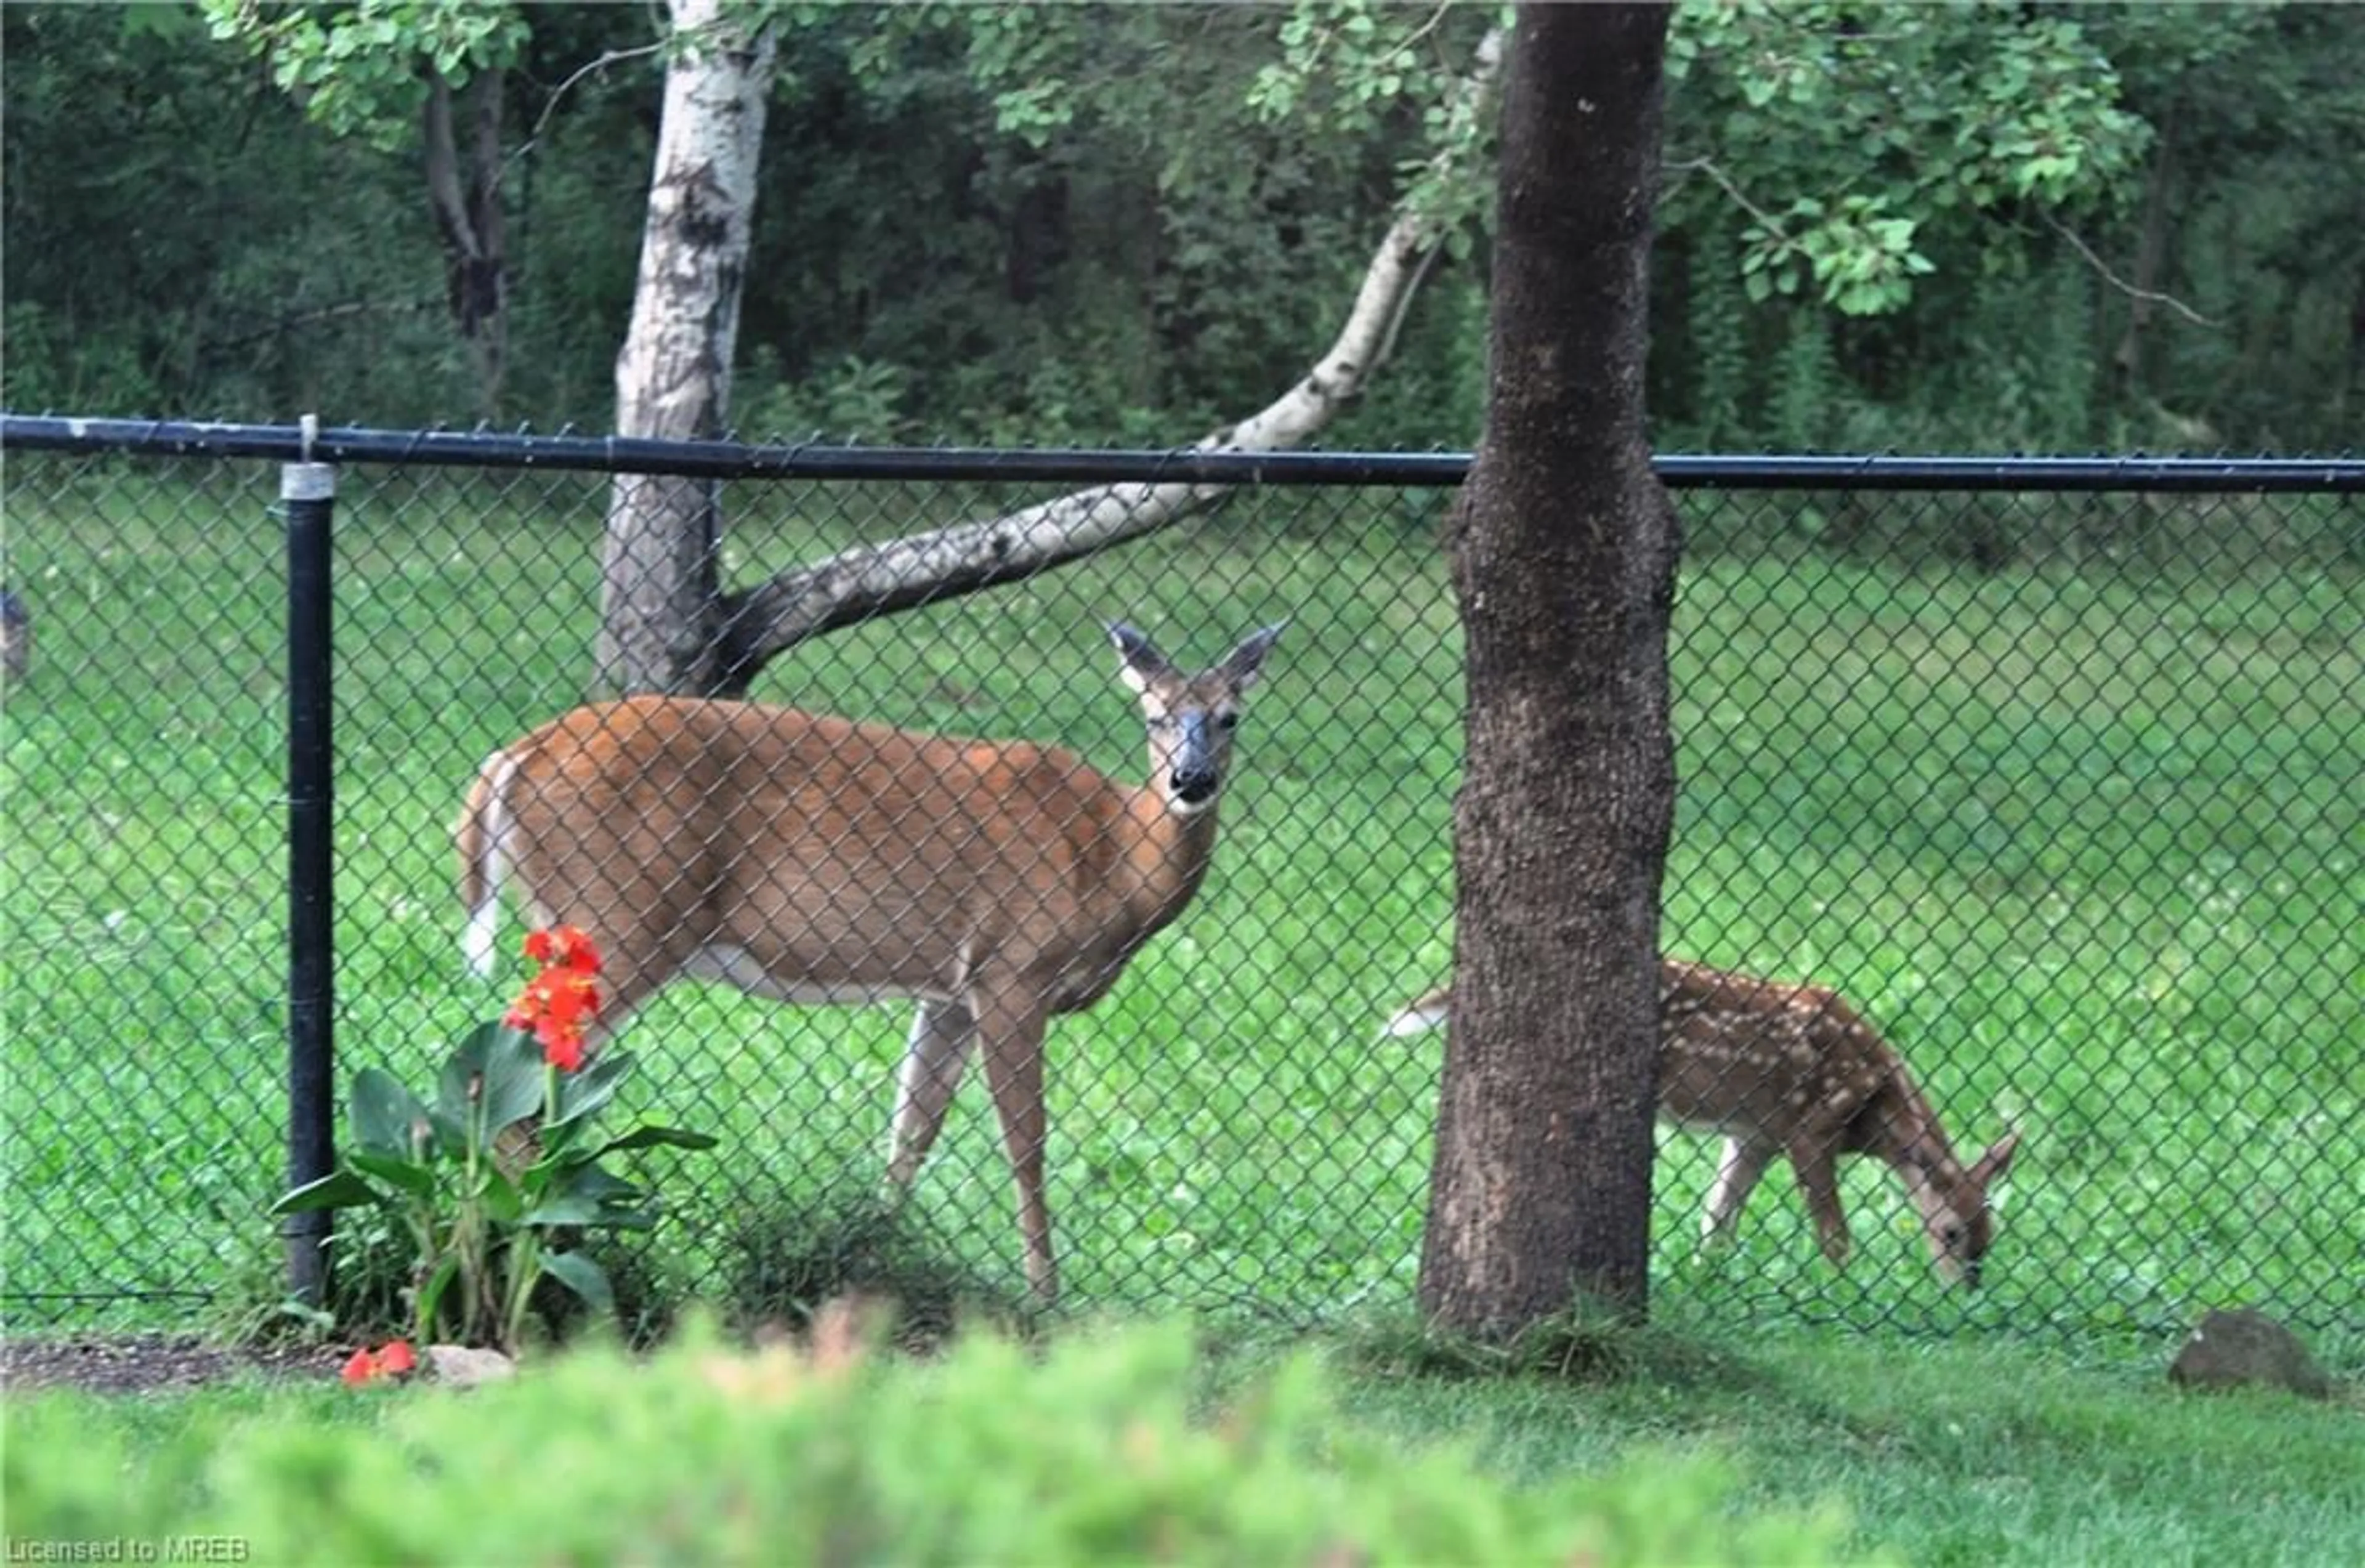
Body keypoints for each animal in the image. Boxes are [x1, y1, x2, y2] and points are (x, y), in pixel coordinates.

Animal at [451, 620, 1286, 1305]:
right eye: (1154, 715)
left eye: (1230, 716)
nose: (1191, 780)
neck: (1115, 856)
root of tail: (515, 754)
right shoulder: (1015, 969)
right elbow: (1027, 1143)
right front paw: (1045, 1297)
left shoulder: (948, 990)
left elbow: (911, 1131)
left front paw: (875, 1247)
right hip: (621, 917)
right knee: (513, 1080)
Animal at [1381, 955, 2015, 1287]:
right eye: (1949, 1232)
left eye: (1990, 1232)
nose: (1964, 1290)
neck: (1876, 1107)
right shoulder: (1810, 1129)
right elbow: (1834, 1235)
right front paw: (1842, 1291)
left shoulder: (1754, 1135)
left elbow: (1718, 1219)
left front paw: (1706, 1278)